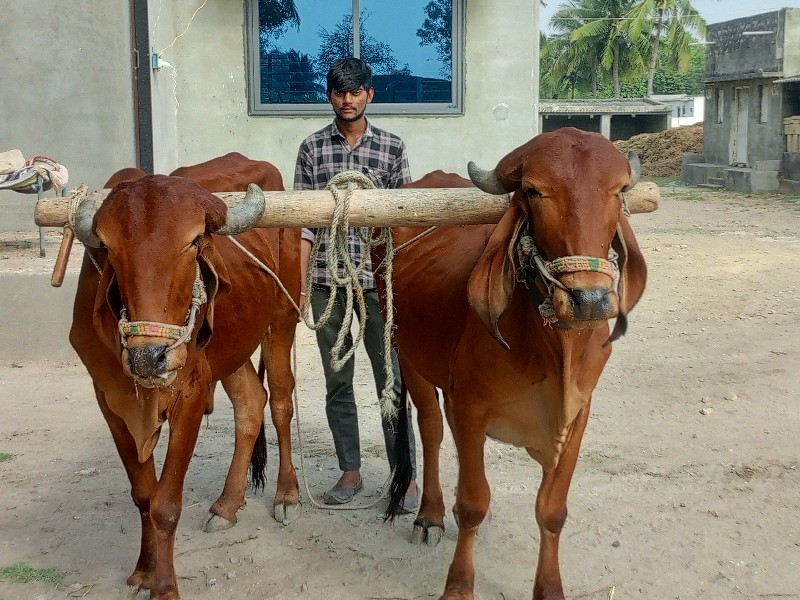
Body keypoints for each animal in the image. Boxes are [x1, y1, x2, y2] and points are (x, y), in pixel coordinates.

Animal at [71, 157, 300, 596]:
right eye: (108, 248)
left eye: (194, 241)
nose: (149, 358)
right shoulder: (109, 400)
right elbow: (144, 496)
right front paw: (144, 571)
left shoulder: (192, 392)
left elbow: (165, 505)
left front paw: (165, 588)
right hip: (232, 347)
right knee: (251, 403)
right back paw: (227, 505)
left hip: (281, 322)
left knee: (280, 402)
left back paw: (287, 495)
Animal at [378, 129, 648, 600]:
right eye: (534, 191)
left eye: (617, 192)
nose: (590, 300)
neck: (554, 347)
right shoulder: (471, 408)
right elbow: (472, 502)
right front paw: (458, 585)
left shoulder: (578, 414)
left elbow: (552, 511)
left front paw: (550, 588)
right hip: (408, 354)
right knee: (431, 429)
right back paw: (430, 514)